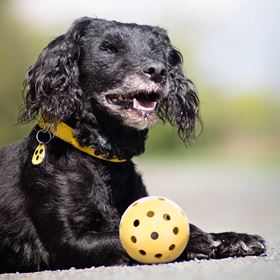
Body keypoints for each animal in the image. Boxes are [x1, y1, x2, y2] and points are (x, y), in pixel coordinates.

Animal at [0, 16, 266, 272]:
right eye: (109, 48)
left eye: (157, 49)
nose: (158, 71)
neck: (101, 158)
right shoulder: (69, 241)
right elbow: (126, 239)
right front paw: (194, 239)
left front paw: (235, 238)